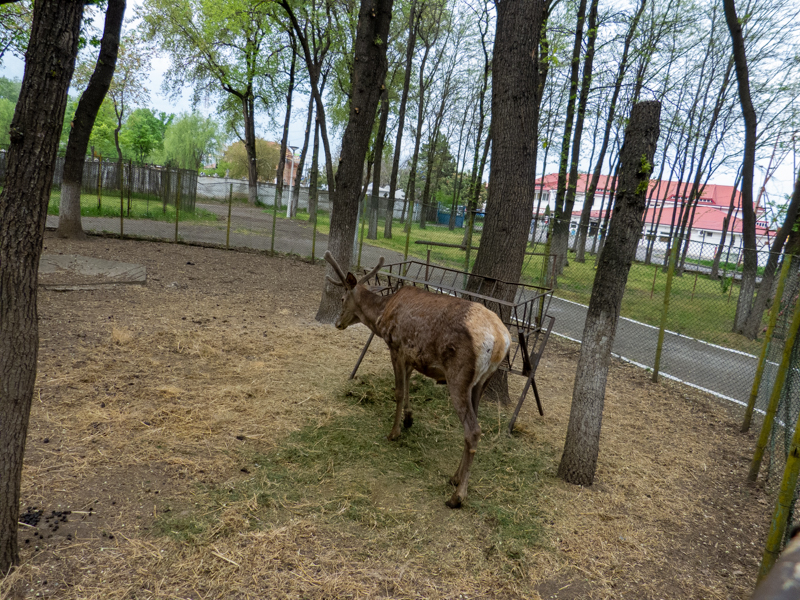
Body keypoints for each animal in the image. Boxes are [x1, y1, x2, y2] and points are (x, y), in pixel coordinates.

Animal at [324, 251, 511, 508]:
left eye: (342, 298)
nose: (337, 323)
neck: (381, 316)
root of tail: (501, 340)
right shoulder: (413, 356)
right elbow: (408, 386)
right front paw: (409, 419)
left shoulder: (396, 346)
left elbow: (398, 391)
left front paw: (393, 433)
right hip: (483, 381)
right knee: (473, 425)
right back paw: (454, 477)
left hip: (459, 375)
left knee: (473, 430)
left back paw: (457, 496)